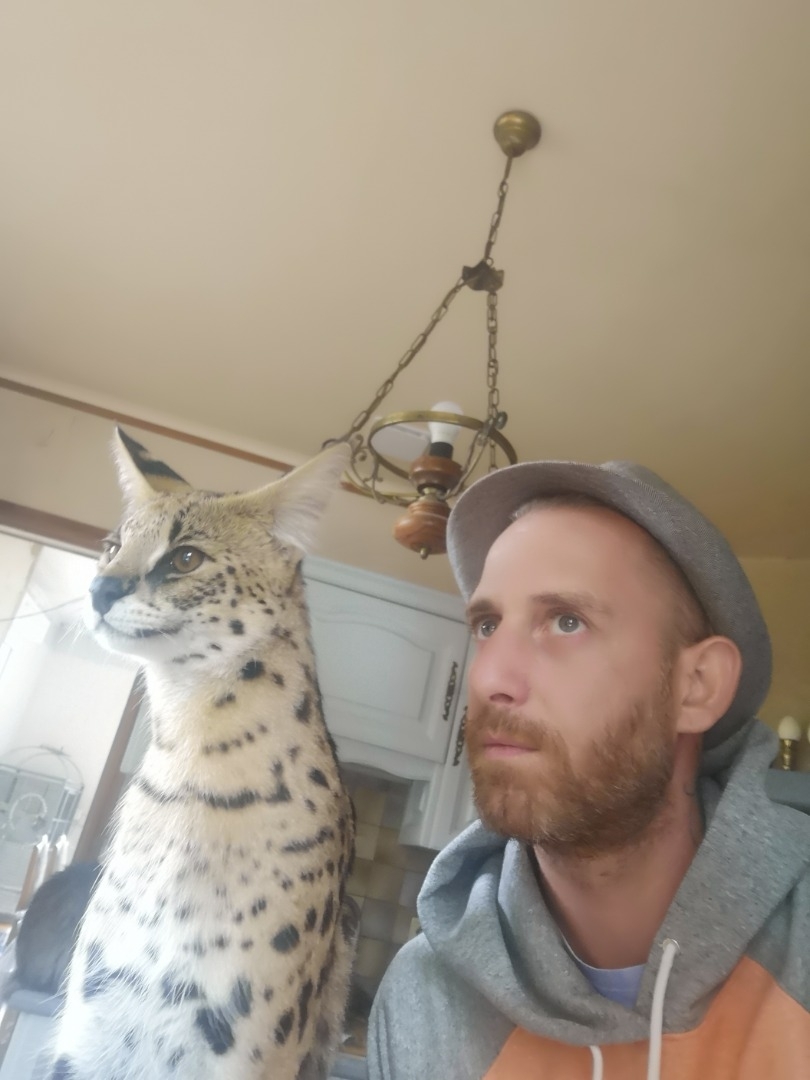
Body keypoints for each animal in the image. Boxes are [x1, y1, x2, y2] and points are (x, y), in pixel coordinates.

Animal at [48, 428, 359, 1080]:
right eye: (111, 547)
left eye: (184, 559)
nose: (98, 588)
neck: (189, 757)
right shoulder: (90, 1025)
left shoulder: (248, 1045)